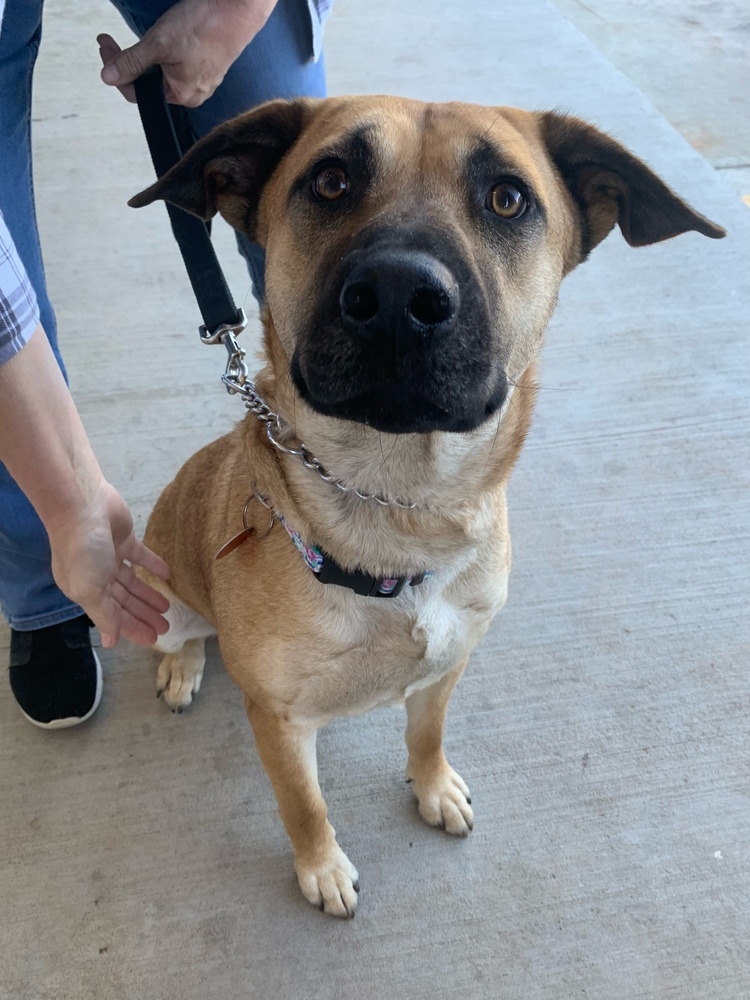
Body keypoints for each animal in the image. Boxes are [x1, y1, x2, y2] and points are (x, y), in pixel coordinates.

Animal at [131, 97, 728, 916]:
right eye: (331, 180)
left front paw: (433, 788)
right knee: (177, 635)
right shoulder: (280, 722)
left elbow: (427, 735)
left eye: (507, 198)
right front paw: (322, 868)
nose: (395, 296)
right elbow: (304, 805)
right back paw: (182, 665)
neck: (401, 511)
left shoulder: (450, 663)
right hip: (159, 599)